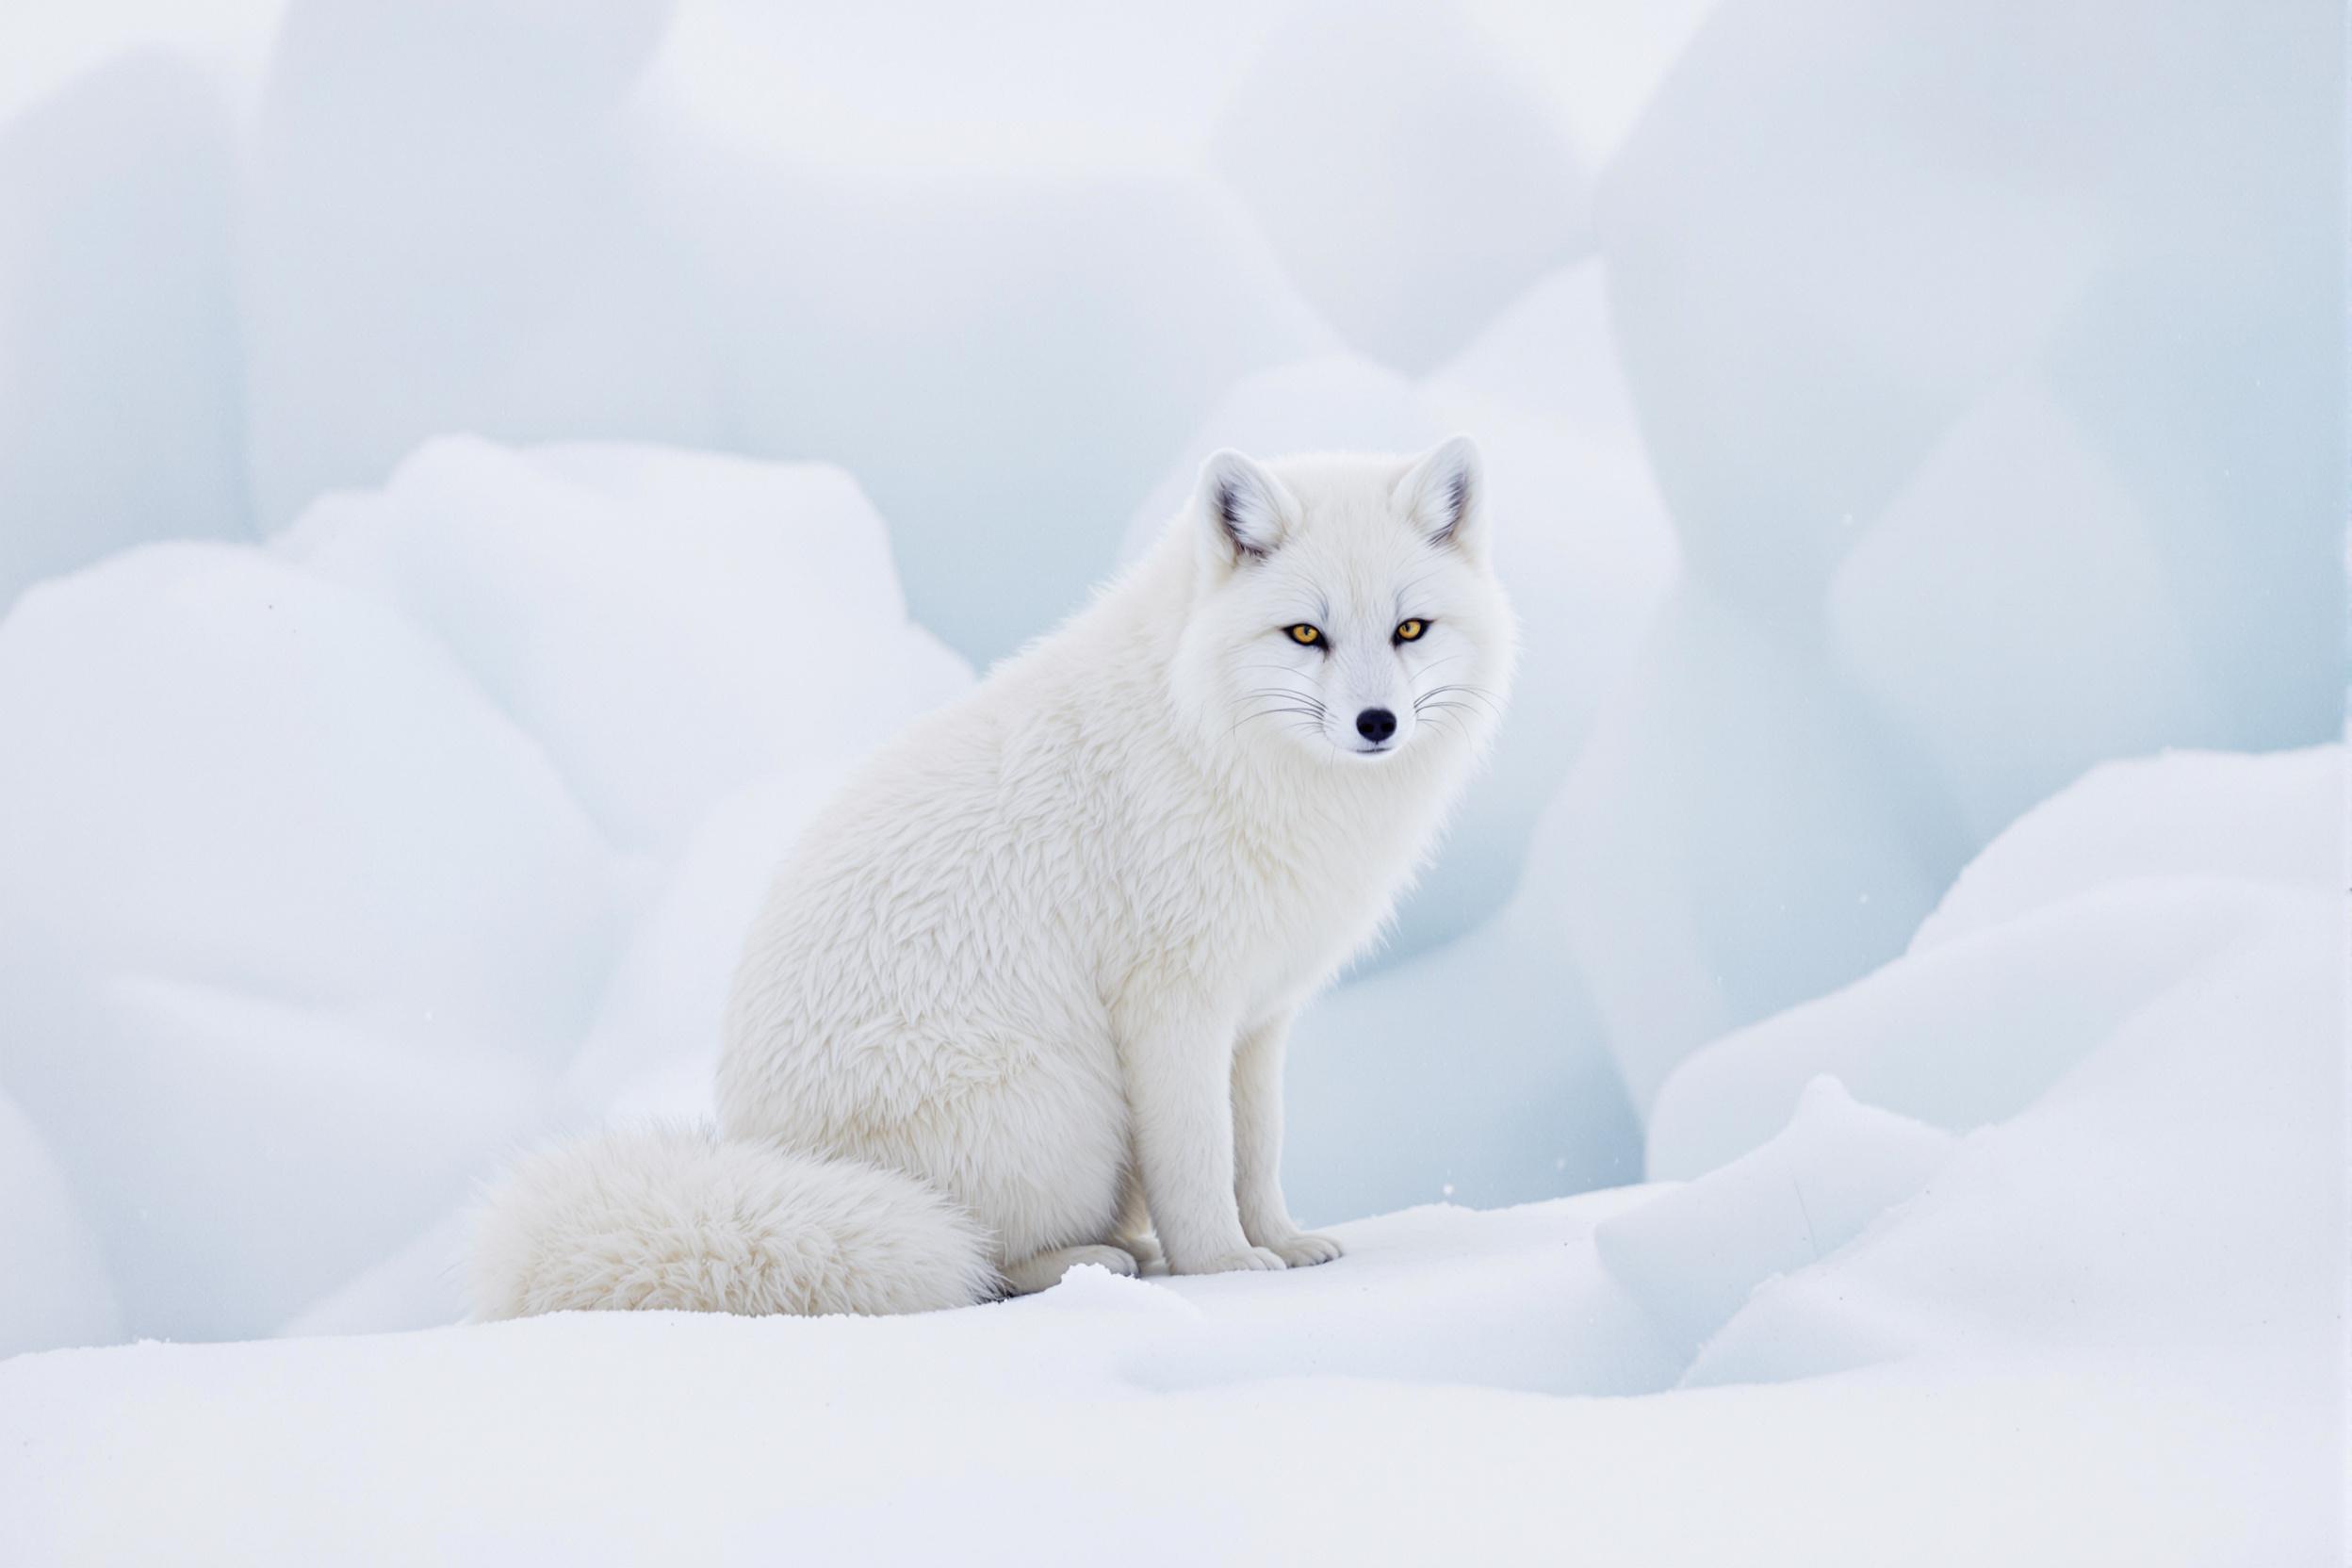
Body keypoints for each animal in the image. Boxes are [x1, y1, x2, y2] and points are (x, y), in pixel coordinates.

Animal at [467, 434, 1514, 1316]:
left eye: (1411, 628)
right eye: (1305, 635)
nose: (1376, 723)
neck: (1212, 736)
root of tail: (767, 1152)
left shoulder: (1258, 1016)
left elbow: (1254, 1153)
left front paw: (1284, 1242)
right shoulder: (1171, 1003)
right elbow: (1198, 1158)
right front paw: (1224, 1265)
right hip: (1067, 1106)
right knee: (979, 1259)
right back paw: (1100, 1260)